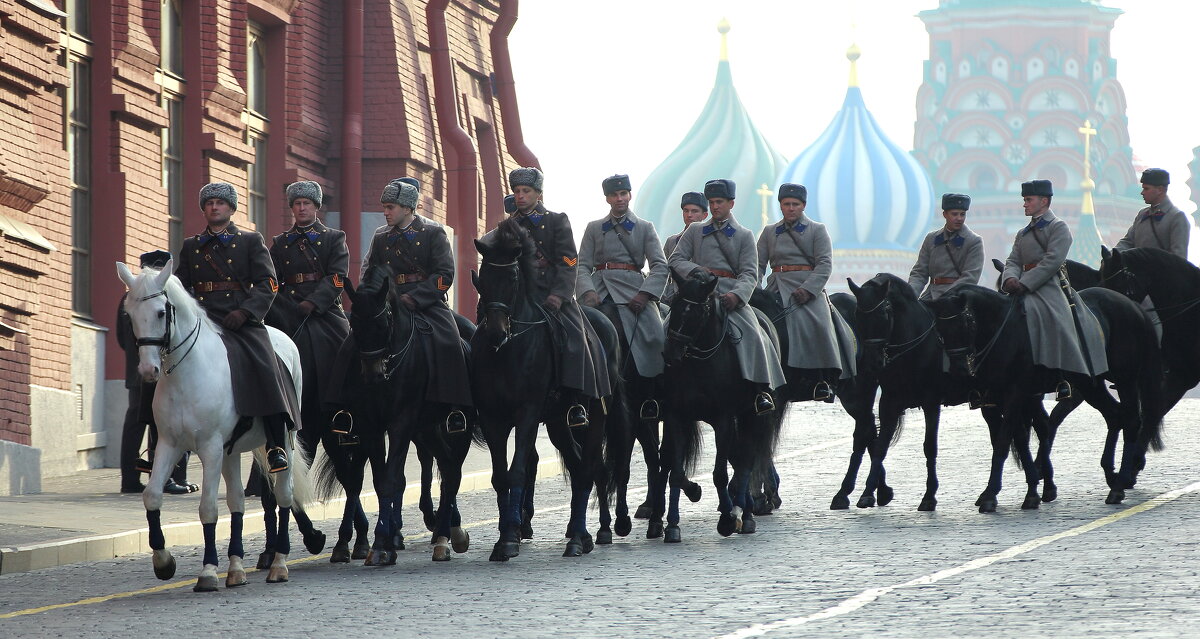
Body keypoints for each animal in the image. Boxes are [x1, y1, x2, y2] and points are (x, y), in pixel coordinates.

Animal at [116, 257, 312, 590]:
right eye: (128, 314)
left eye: (160, 312)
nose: (148, 370)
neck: (187, 374)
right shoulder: (170, 444)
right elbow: (152, 496)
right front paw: (163, 561)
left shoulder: (209, 448)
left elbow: (207, 507)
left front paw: (208, 571)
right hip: (230, 452)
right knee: (237, 502)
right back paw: (236, 568)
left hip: (283, 438)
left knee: (284, 494)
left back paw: (279, 563)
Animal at [314, 264, 482, 564]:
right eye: (354, 326)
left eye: (383, 324)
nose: (373, 374)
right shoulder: (370, 425)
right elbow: (381, 480)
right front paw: (382, 542)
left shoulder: (401, 422)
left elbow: (393, 478)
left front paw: (383, 542)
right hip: (427, 429)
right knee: (445, 466)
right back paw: (444, 531)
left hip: (456, 427)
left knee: (452, 473)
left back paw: (445, 537)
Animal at [468, 218, 624, 559]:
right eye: (482, 277)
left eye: (513, 278)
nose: (496, 333)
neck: (508, 351)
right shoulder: (491, 418)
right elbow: (500, 477)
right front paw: (504, 536)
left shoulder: (526, 413)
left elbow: (517, 471)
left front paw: (510, 537)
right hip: (557, 423)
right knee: (580, 466)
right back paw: (586, 534)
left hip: (595, 414)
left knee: (589, 468)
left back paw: (581, 537)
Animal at [652, 272, 782, 540]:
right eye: (675, 304)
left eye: (698, 312)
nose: (670, 353)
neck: (699, 365)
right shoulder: (675, 418)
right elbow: (675, 472)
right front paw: (673, 524)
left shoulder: (724, 420)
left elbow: (720, 474)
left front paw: (726, 520)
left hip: (753, 415)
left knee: (746, 459)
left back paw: (746, 514)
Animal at [926, 284, 1161, 509]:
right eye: (939, 329)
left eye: (968, 322)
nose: (959, 370)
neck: (1005, 333)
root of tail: (1132, 306)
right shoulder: (1003, 397)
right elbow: (1021, 439)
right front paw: (1033, 490)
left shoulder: (1016, 394)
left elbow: (1004, 441)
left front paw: (992, 495)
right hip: (1090, 385)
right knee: (1114, 417)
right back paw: (1113, 474)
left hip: (1125, 380)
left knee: (1131, 421)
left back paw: (1120, 485)